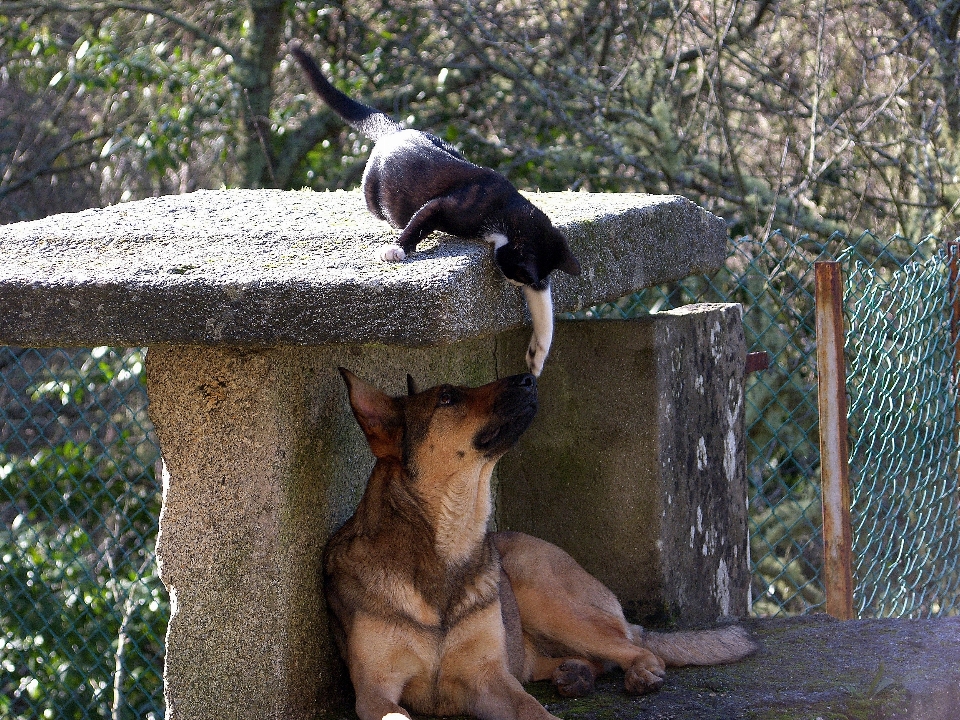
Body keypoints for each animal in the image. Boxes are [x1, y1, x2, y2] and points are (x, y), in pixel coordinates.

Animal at [290, 43, 576, 376]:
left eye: (527, 280)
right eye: (518, 273)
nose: (517, 283)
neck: (508, 209)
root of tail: (396, 130)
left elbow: (545, 310)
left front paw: (537, 355)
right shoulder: (453, 204)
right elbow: (421, 219)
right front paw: (397, 249)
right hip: (373, 191)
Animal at [330, 372, 756, 720]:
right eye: (448, 398)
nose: (529, 379)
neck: (448, 543)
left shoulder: (490, 679)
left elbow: (532, 709)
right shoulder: (374, 692)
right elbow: (395, 712)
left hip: (545, 594)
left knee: (635, 647)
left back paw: (638, 672)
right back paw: (577, 675)